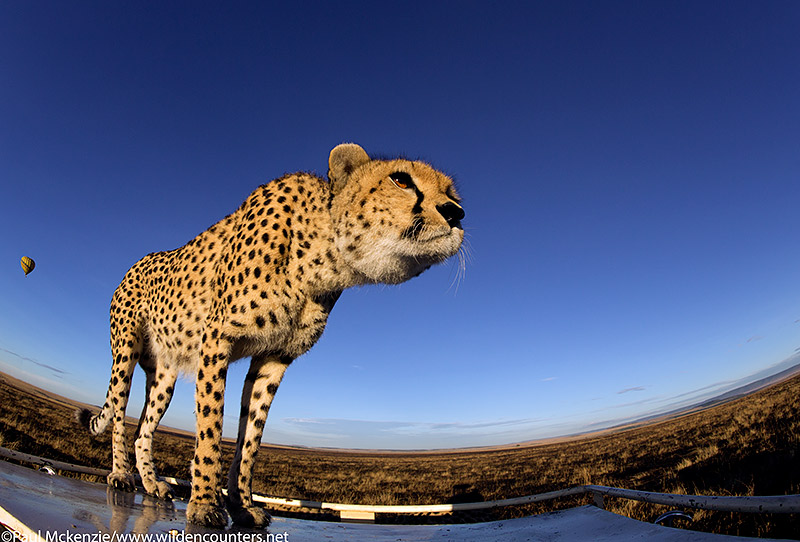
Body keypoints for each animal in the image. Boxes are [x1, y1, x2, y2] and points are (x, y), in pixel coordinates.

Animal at [76, 146, 462, 532]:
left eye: (452, 192)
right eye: (401, 180)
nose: (456, 213)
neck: (322, 257)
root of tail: (138, 262)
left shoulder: (274, 358)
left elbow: (251, 438)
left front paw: (243, 505)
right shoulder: (216, 340)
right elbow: (211, 427)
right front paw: (204, 503)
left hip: (166, 374)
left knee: (142, 430)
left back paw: (152, 482)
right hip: (125, 353)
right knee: (119, 414)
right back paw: (121, 474)